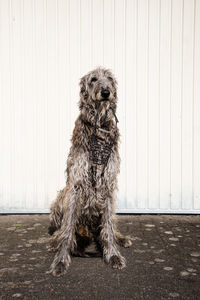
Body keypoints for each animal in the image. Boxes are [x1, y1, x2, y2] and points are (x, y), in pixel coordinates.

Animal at [48, 66, 132, 276]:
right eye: (93, 79)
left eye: (109, 78)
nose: (106, 92)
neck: (99, 124)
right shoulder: (76, 184)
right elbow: (67, 228)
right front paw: (61, 260)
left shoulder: (109, 183)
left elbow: (108, 227)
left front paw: (113, 254)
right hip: (61, 196)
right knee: (61, 228)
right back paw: (54, 241)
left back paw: (120, 238)